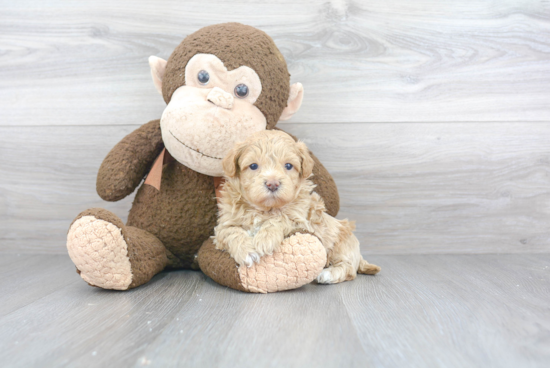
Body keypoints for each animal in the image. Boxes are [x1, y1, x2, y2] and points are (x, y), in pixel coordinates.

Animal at [213, 130, 382, 284]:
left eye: (288, 165)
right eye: (253, 166)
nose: (272, 184)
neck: (265, 209)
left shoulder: (302, 221)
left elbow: (281, 219)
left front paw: (265, 239)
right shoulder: (223, 226)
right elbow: (231, 232)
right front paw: (246, 251)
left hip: (341, 247)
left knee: (349, 270)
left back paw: (327, 274)